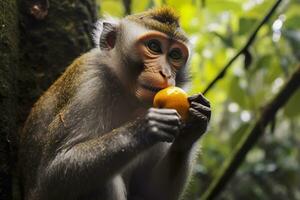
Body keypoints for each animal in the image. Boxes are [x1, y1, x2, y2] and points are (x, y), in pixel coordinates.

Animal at [18, 7, 211, 200]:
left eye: (175, 55)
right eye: (154, 47)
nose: (166, 73)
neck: (126, 92)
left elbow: (150, 192)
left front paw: (195, 124)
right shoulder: (90, 84)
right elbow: (52, 175)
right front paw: (146, 127)